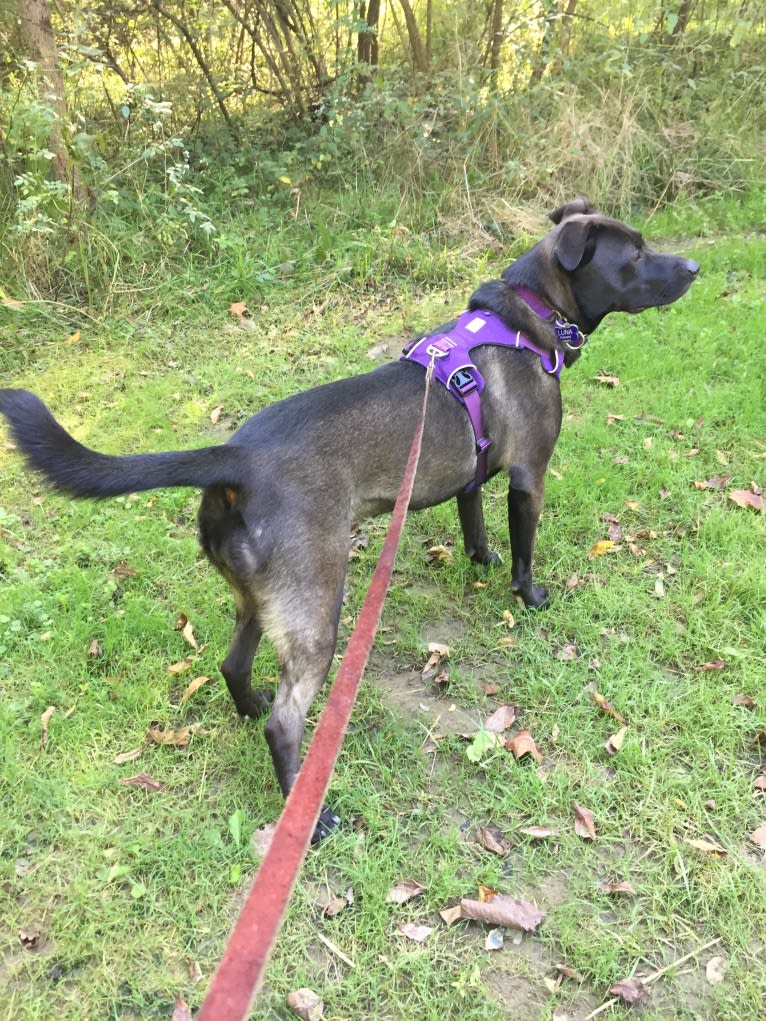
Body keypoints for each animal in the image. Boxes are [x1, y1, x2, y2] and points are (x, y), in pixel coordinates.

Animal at [0, 199, 698, 837]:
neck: (525, 316)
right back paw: (311, 812)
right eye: (635, 254)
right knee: (286, 722)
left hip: (262, 600)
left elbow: (473, 522)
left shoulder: (470, 475)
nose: (694, 266)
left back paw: (248, 708)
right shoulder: (530, 477)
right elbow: (524, 547)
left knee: (234, 666)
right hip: (317, 609)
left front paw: (480, 558)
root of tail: (237, 459)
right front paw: (531, 595)